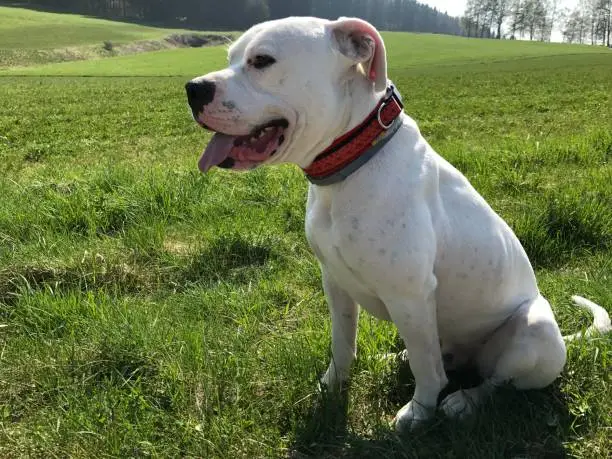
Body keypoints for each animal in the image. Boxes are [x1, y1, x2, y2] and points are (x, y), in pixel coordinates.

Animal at [184, 17, 608, 432]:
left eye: (262, 60)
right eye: (231, 56)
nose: (192, 88)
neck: (350, 164)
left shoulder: (411, 295)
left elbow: (427, 371)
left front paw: (419, 412)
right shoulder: (335, 282)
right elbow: (343, 343)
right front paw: (332, 385)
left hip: (534, 330)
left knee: (493, 381)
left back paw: (464, 401)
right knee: (437, 355)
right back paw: (396, 359)